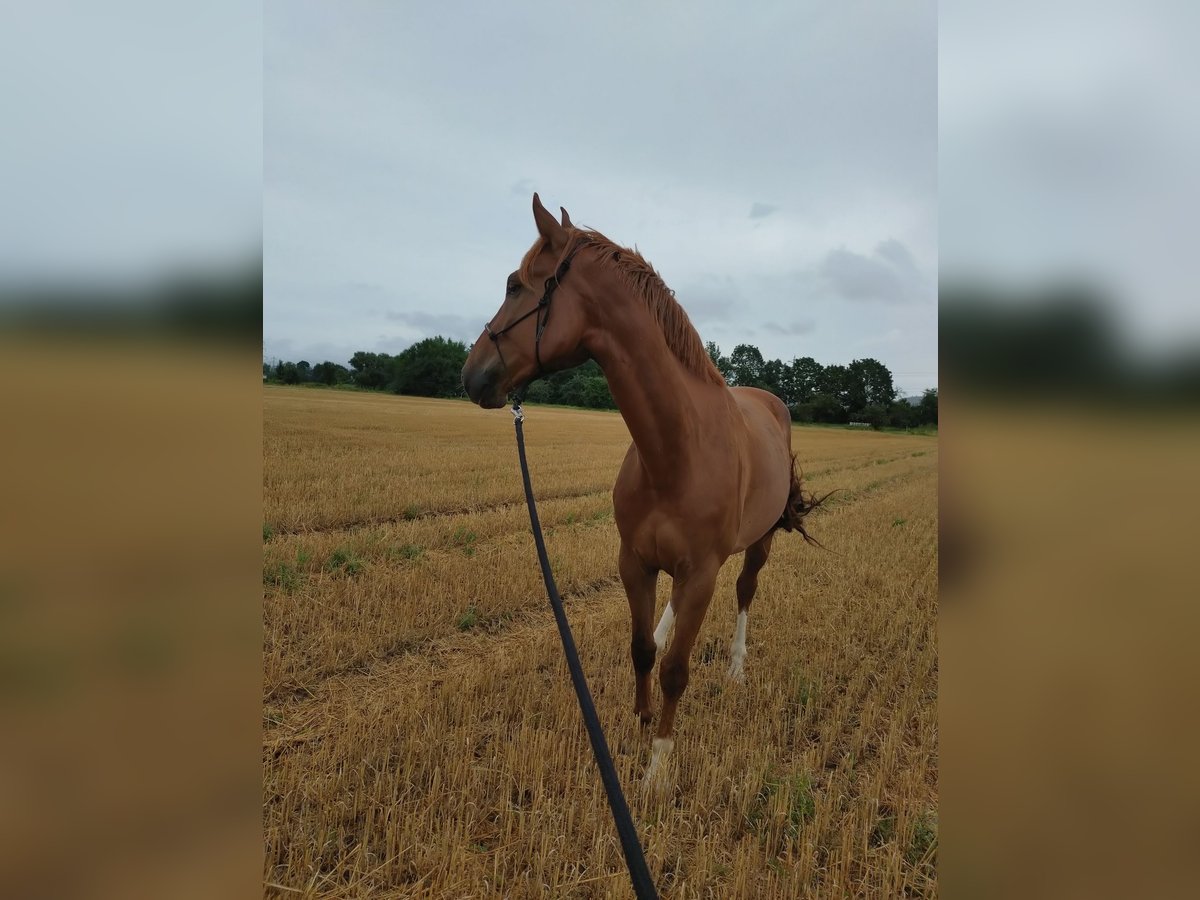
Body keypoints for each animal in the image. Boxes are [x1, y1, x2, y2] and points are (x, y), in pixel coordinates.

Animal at [460, 194, 825, 787]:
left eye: (515, 285)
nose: (471, 375)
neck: (676, 451)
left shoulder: (702, 574)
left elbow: (675, 669)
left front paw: (657, 763)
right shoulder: (634, 561)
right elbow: (641, 651)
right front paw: (640, 720)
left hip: (760, 543)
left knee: (746, 591)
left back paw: (736, 667)